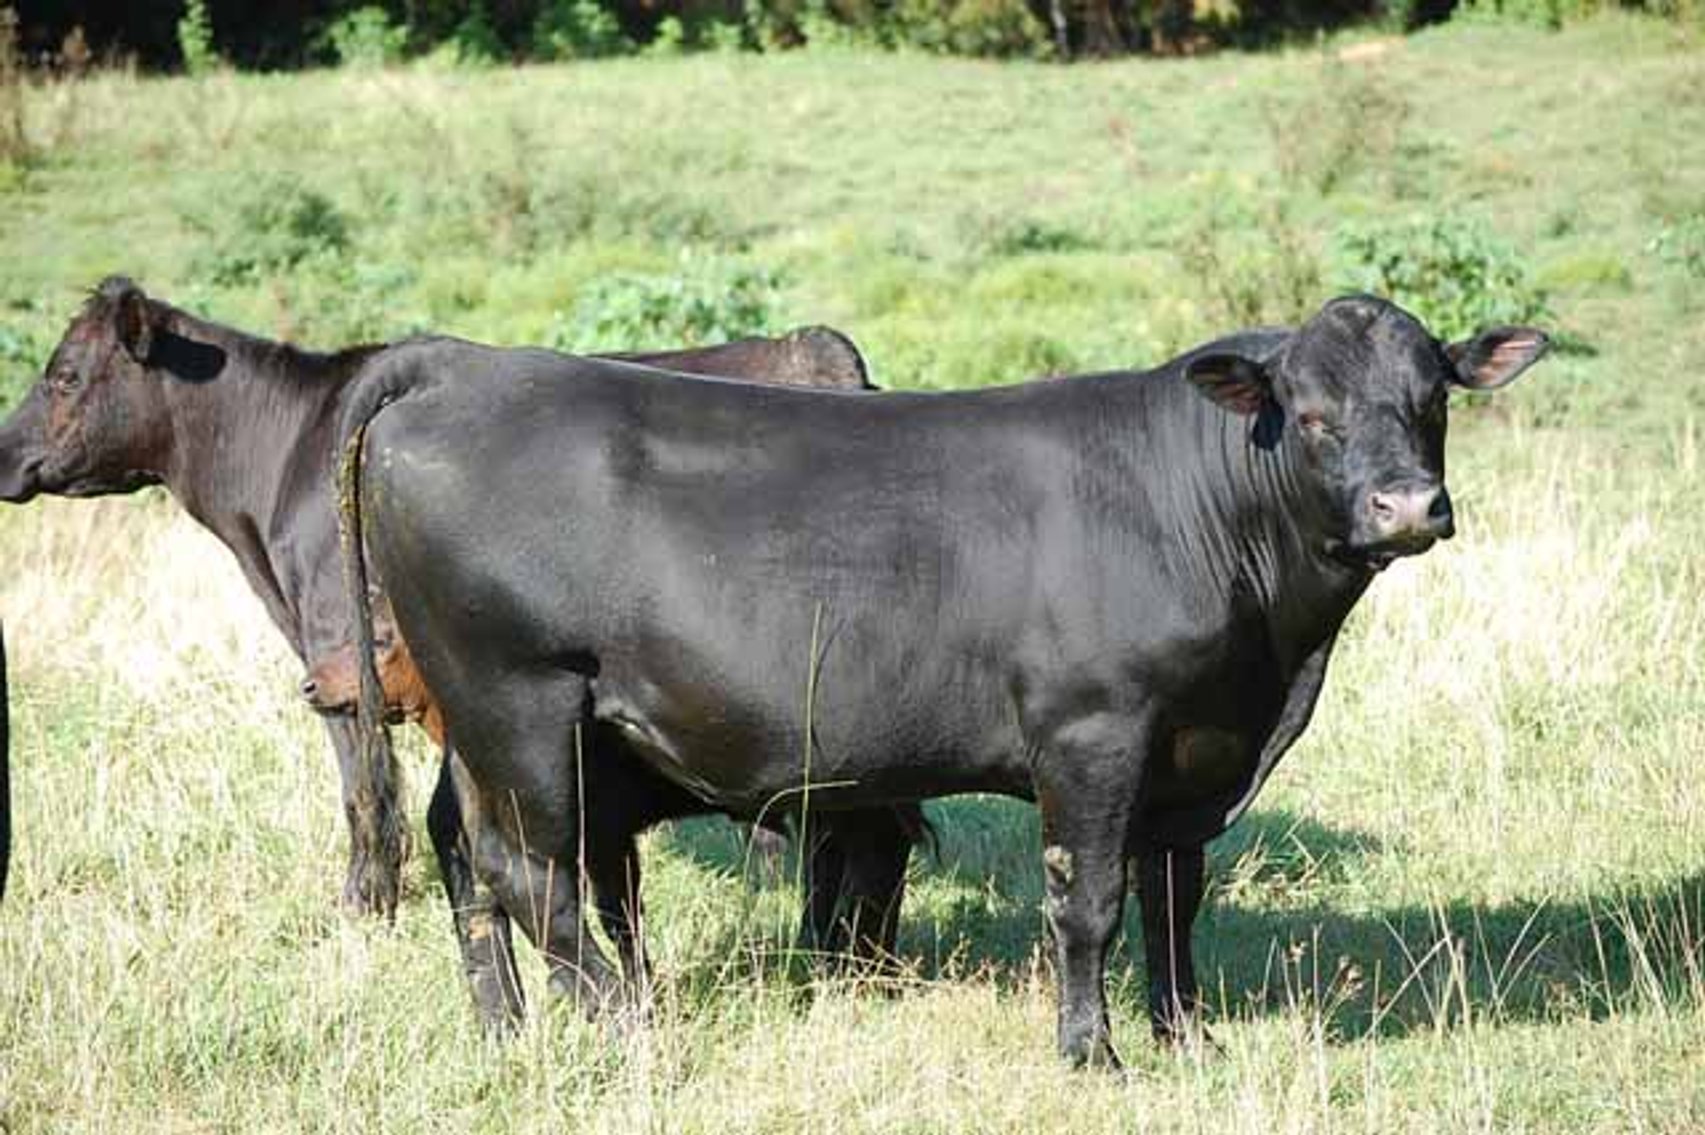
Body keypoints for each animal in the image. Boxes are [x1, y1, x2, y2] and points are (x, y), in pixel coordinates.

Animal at [0, 279, 914, 1004]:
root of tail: (813, 345)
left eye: (63, 374)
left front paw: (364, 904)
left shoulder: (340, 654)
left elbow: (366, 792)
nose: (4, 458)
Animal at [337, 294, 1548, 1066]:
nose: (1406, 505)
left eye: (1432, 399)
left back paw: (507, 1030)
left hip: (483, 724)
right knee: (529, 871)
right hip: (520, 703)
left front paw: (1186, 1036)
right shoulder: (1091, 732)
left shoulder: (1194, 753)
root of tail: (466, 361)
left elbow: (1174, 897)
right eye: (1310, 413)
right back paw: (629, 1028)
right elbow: (1087, 900)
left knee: (470, 857)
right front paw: (1091, 1051)